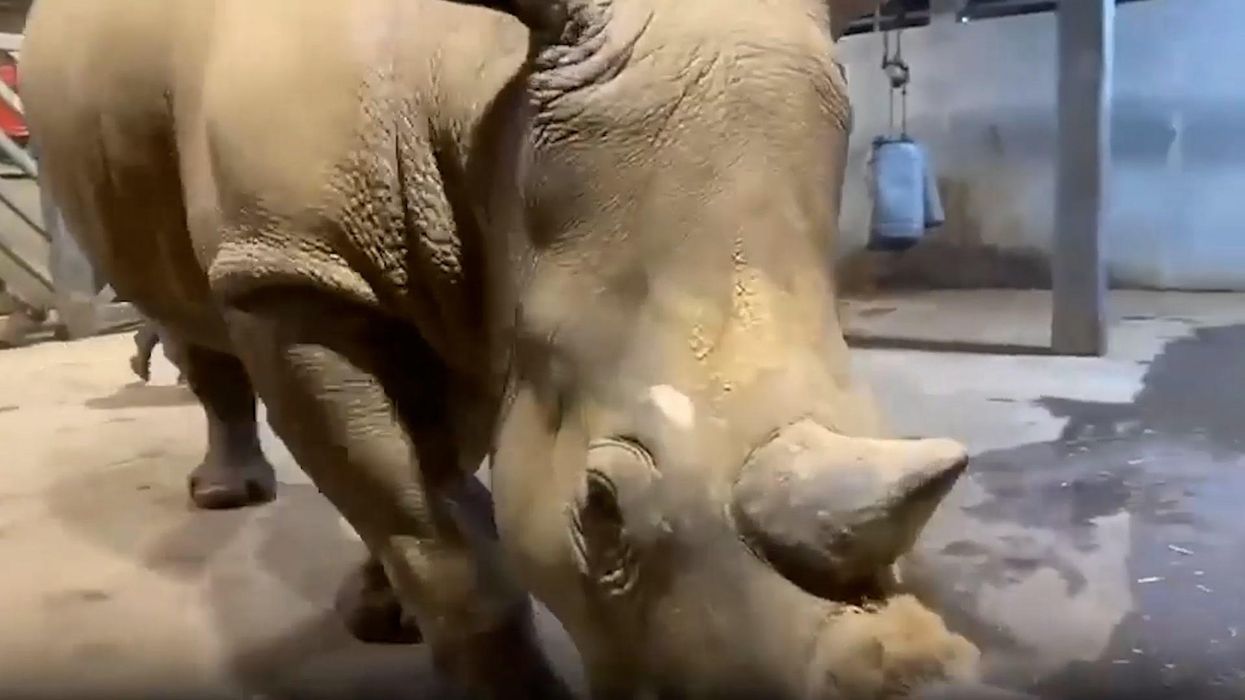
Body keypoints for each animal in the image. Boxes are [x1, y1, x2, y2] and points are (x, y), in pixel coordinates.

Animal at [22, 0, 1007, 697]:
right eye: (601, 507)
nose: (927, 685)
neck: (482, 100)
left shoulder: (460, 269)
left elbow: (436, 471)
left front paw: (385, 614)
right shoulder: (293, 269)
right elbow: (443, 541)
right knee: (179, 304)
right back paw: (226, 498)